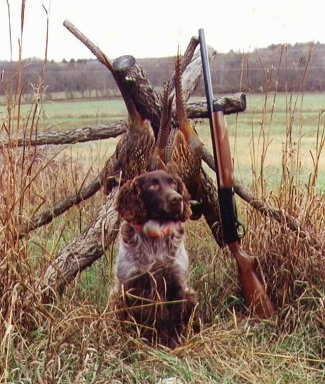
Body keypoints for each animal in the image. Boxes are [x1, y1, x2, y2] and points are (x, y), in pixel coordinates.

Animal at [112, 171, 196, 348]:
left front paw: (174, 344)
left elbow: (174, 321)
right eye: (153, 185)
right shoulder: (129, 286)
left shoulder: (177, 284)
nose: (177, 199)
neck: (155, 236)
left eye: (173, 184)